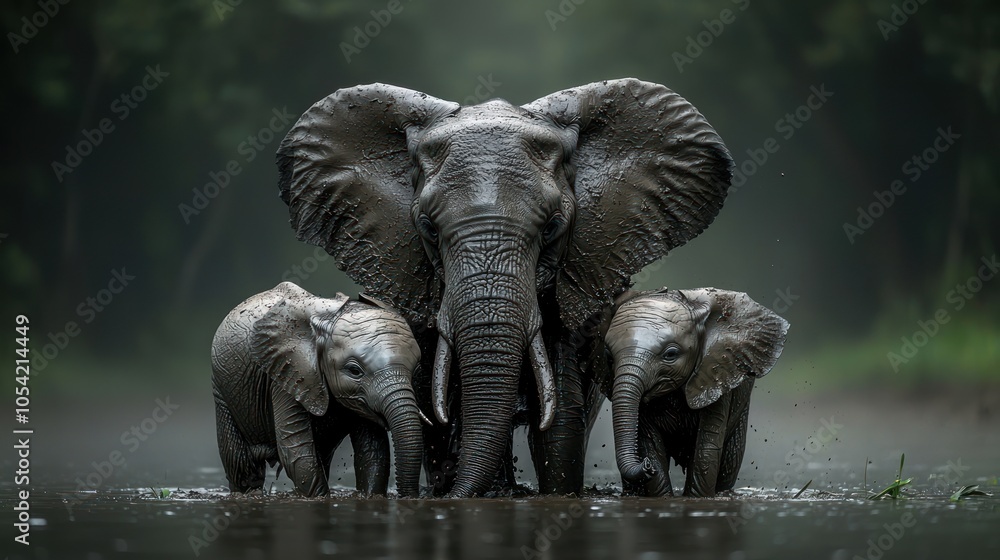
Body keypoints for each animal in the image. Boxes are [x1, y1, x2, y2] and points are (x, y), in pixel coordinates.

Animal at [211, 281, 426, 497]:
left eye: (416, 370)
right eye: (354, 371)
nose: (409, 496)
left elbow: (373, 452)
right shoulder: (288, 373)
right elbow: (297, 451)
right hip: (222, 392)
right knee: (243, 468)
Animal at [601, 287, 789, 497]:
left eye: (671, 354)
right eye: (608, 356)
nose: (646, 466)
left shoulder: (717, 373)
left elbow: (706, 451)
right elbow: (649, 445)